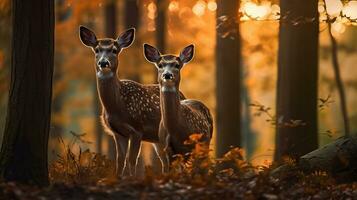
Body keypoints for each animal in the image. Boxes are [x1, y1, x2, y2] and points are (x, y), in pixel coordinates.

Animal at [79, 25, 185, 177]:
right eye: (97, 49)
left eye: (114, 50)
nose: (103, 62)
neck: (118, 106)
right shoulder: (117, 133)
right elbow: (120, 159)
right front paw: (117, 178)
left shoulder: (137, 130)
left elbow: (132, 159)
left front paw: (133, 178)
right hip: (157, 140)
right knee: (165, 161)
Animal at [143, 43, 213, 171]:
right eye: (160, 65)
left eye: (177, 65)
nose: (167, 75)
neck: (174, 129)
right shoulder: (168, 150)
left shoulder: (188, 148)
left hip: (205, 144)